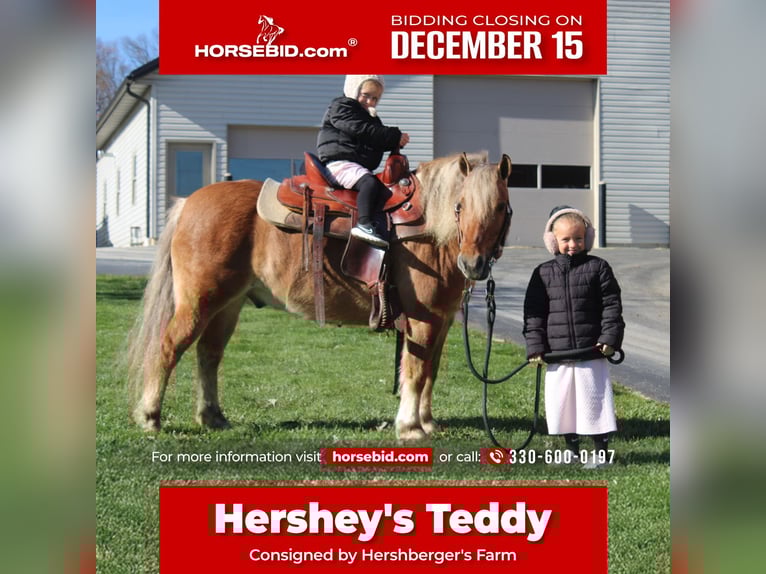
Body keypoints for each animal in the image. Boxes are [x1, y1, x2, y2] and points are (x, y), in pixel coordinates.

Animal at [127, 151, 512, 441]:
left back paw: (212, 417)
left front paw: (427, 423)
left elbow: (431, 370)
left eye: (501, 208)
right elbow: (416, 371)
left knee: (208, 354)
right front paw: (410, 428)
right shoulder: (423, 318)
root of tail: (188, 203)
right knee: (169, 347)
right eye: (460, 205)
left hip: (228, 305)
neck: (430, 230)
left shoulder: (441, 321)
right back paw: (150, 416)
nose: (473, 264)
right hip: (199, 302)